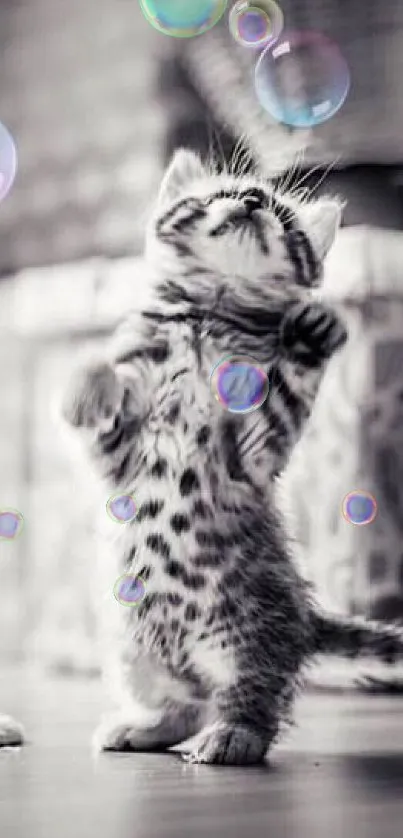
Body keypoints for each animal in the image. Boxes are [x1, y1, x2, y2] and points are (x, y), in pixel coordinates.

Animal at [60, 151, 403, 768]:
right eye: (223, 193)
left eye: (279, 212)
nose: (249, 202)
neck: (210, 319)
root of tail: (303, 618)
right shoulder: (121, 458)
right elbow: (104, 400)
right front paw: (88, 379)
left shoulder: (250, 457)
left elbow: (283, 398)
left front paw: (307, 340)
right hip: (129, 647)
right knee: (185, 701)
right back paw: (146, 725)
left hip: (245, 637)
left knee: (252, 698)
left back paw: (233, 735)